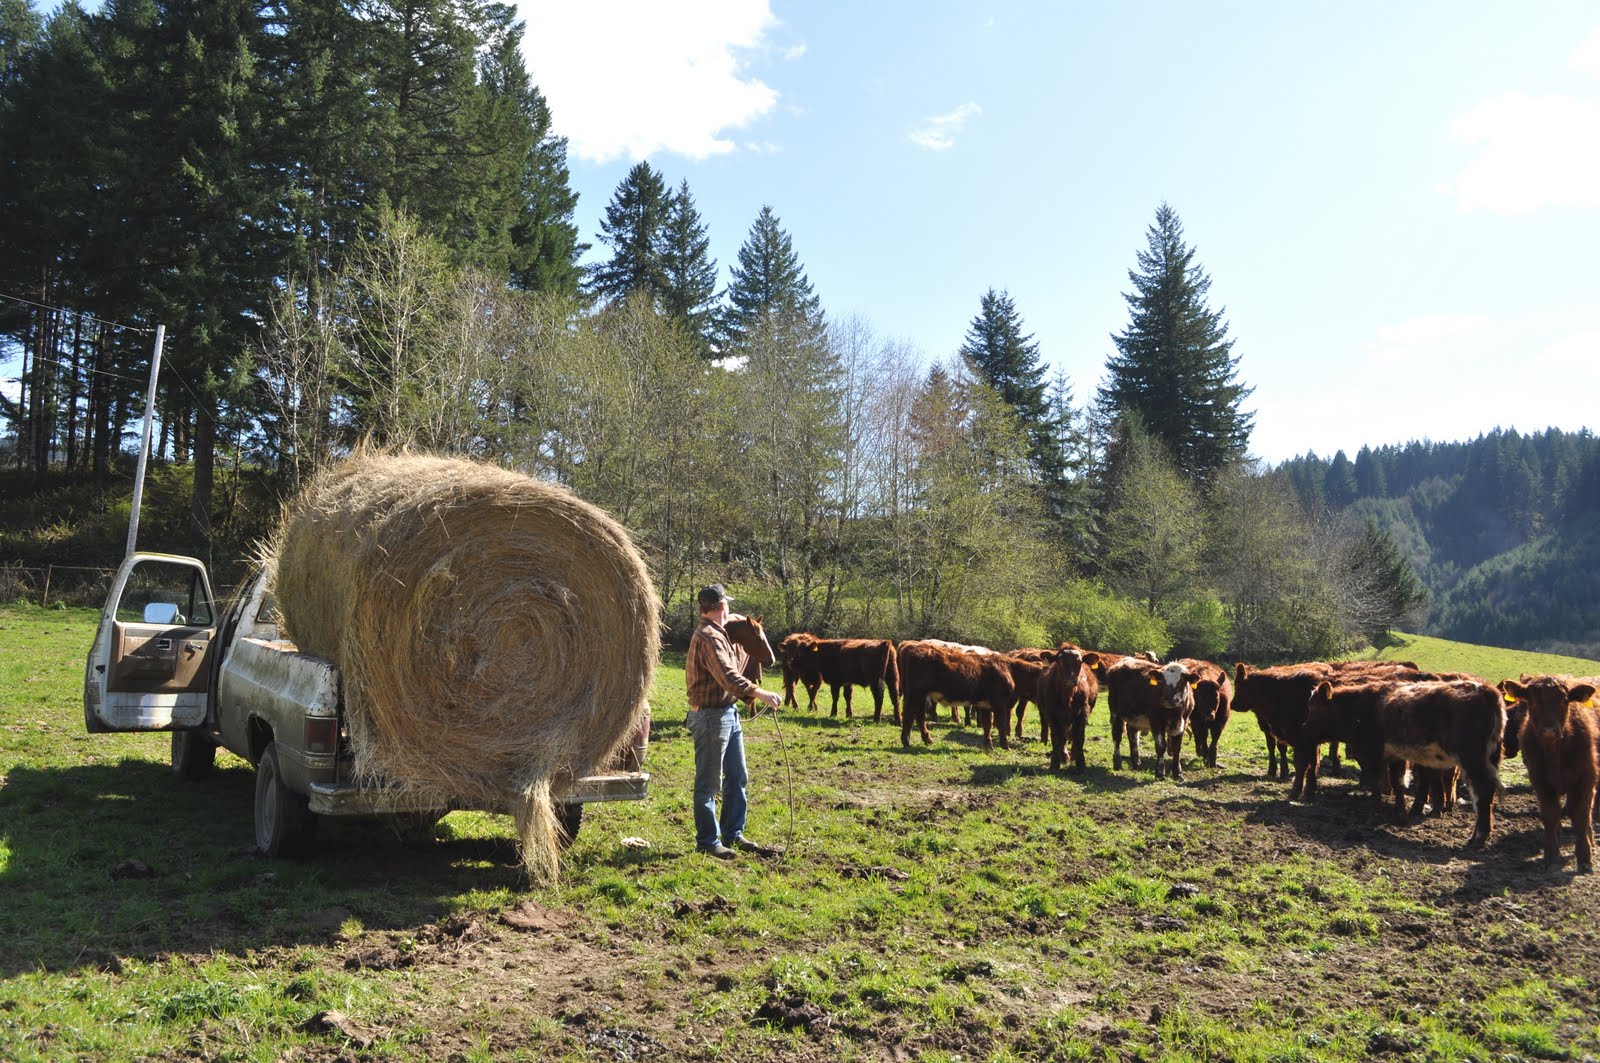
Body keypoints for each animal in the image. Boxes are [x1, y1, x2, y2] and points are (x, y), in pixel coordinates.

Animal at [1501, 675, 1600, 873]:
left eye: (1564, 700)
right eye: (1531, 702)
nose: (1549, 730)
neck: (1555, 753)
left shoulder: (1585, 779)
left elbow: (1581, 815)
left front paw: (1585, 858)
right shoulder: (1540, 781)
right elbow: (1550, 815)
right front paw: (1552, 856)